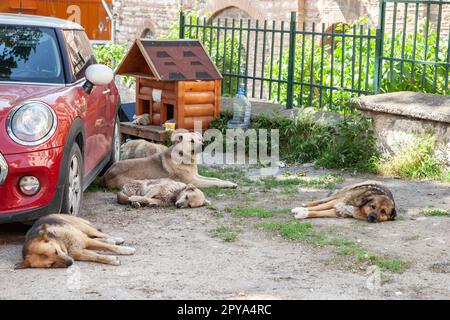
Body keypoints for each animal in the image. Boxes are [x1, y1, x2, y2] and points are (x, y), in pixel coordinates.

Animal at [101, 131, 236, 190]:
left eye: (200, 139)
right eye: (191, 141)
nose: (203, 146)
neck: (183, 157)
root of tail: (106, 174)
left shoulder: (196, 176)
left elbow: (216, 179)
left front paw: (230, 182)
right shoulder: (193, 181)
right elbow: (213, 182)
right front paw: (227, 185)